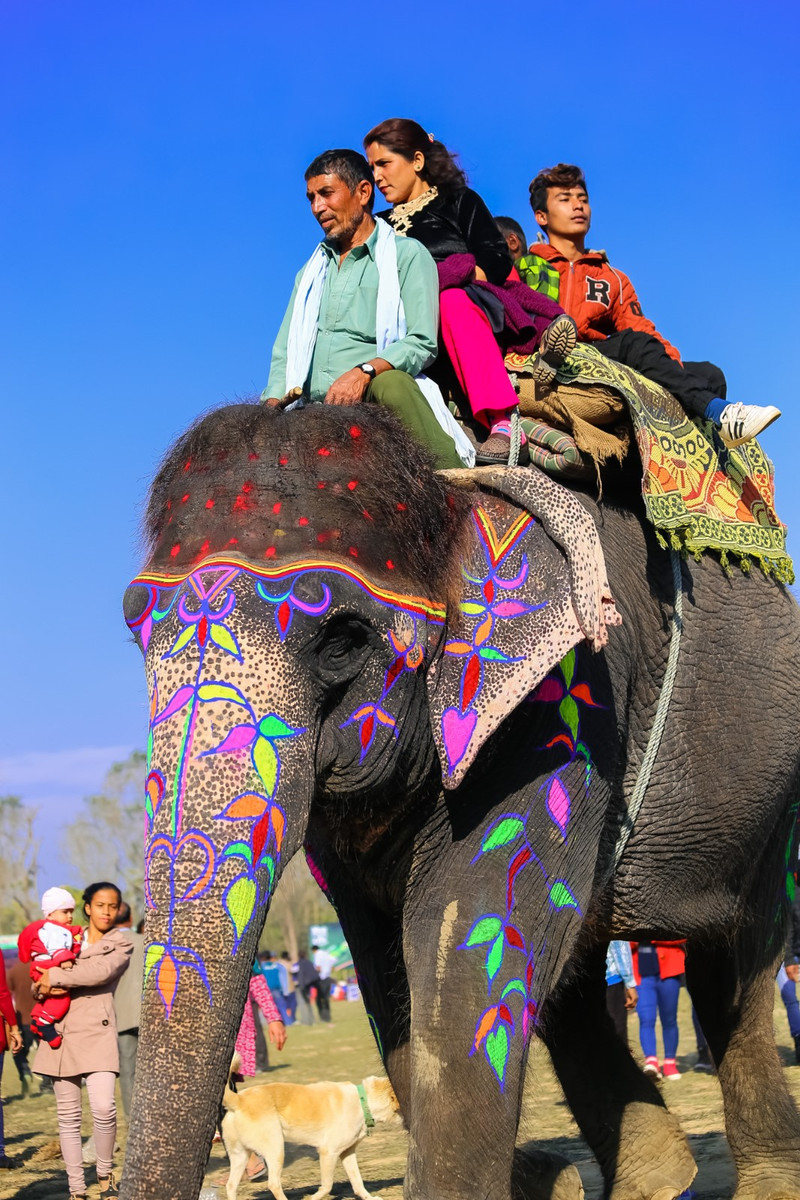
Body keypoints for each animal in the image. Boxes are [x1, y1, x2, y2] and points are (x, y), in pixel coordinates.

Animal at [220, 1070, 400, 1200]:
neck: (363, 1102)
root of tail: (238, 1099)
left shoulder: (347, 1153)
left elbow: (358, 1181)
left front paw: (369, 1197)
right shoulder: (328, 1152)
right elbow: (327, 1185)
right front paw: (313, 1197)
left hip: (240, 1156)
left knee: (231, 1185)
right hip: (276, 1150)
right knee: (273, 1184)